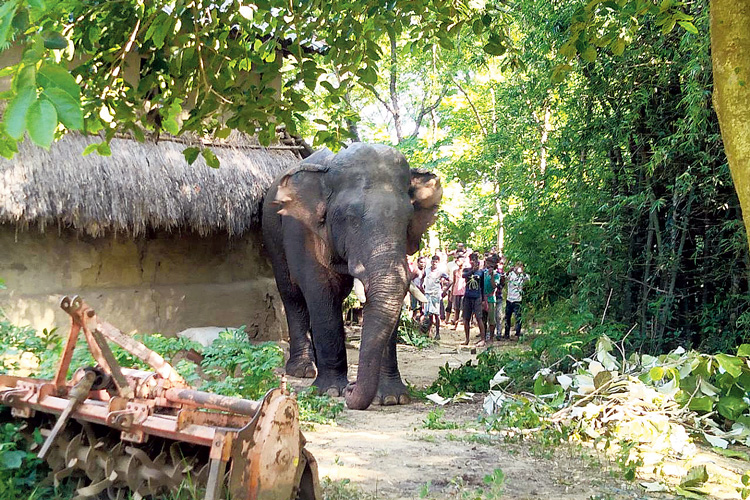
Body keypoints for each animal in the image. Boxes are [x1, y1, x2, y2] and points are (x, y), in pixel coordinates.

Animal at [262, 143, 444, 408]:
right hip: (272, 236)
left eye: (408, 220)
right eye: (350, 218)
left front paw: (392, 397)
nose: (351, 387)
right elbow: (320, 292)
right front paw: (330, 391)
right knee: (292, 296)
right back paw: (303, 370)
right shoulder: (305, 232)